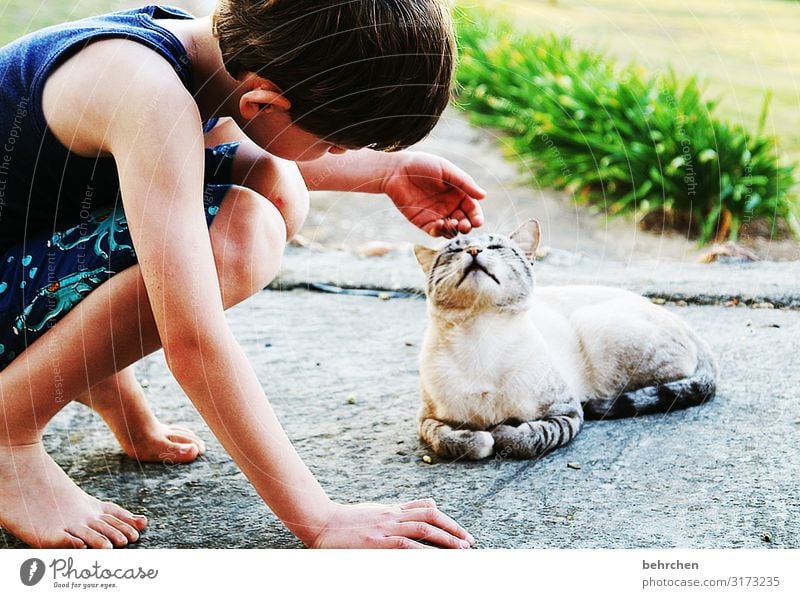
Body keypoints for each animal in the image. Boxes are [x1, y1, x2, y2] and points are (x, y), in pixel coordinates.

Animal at [416, 223, 716, 462]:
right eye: (454, 252)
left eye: (495, 246)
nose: (474, 251)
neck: (481, 337)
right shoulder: (427, 419)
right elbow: (451, 440)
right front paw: (480, 438)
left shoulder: (566, 412)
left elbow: (529, 438)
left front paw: (502, 432)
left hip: (594, 324)